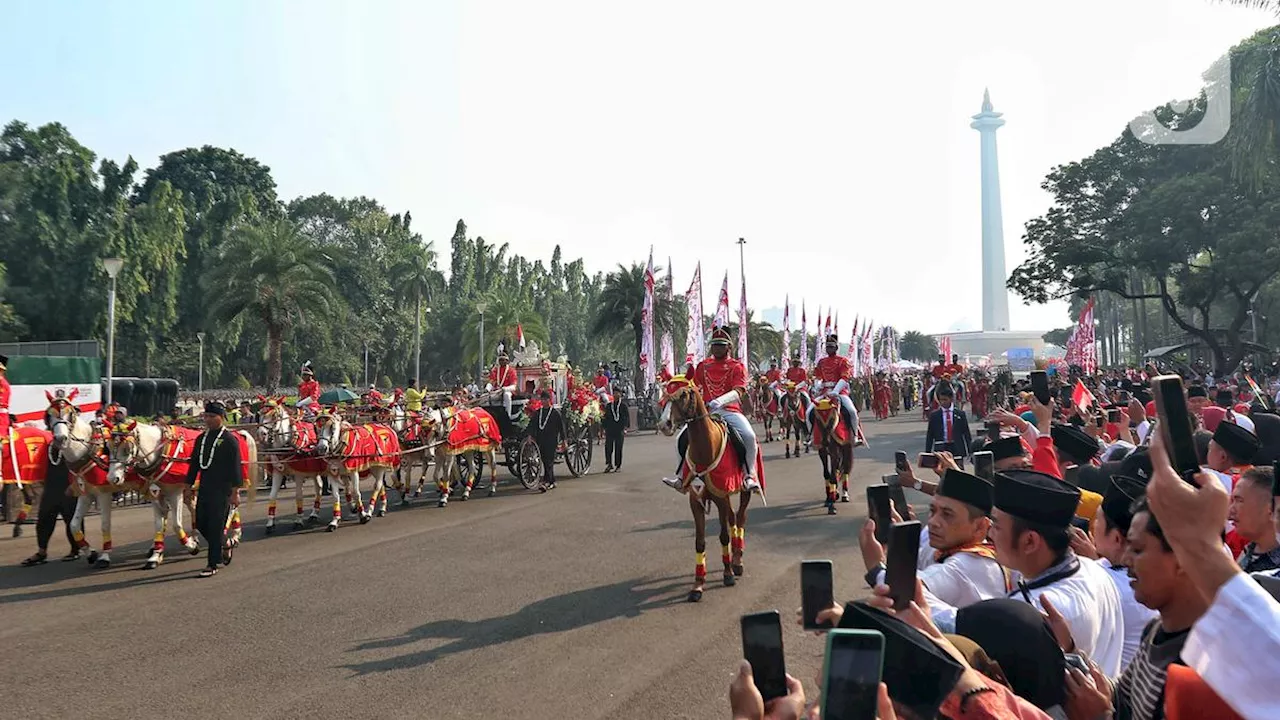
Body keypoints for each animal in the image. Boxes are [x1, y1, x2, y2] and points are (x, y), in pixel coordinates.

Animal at [660, 376, 757, 599]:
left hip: (743, 491)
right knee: (733, 518)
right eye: (665, 394)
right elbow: (700, 541)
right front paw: (698, 585)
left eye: (683, 395)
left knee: (740, 518)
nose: (664, 424)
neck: (706, 449)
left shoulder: (721, 497)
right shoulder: (696, 500)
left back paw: (737, 560)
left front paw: (728, 574)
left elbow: (723, 535)